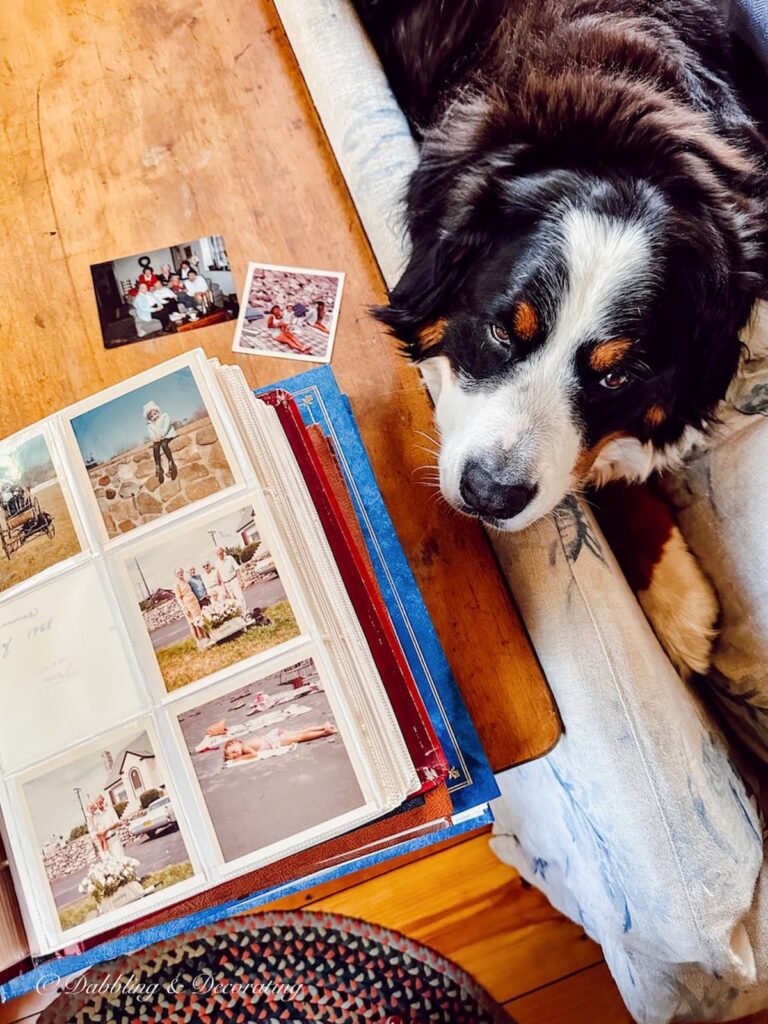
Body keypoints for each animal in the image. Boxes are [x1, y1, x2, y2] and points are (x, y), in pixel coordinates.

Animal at [354, 0, 768, 675]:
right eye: (500, 329)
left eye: (615, 376)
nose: (491, 495)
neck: (625, 135)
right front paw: (675, 596)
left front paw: (671, 593)